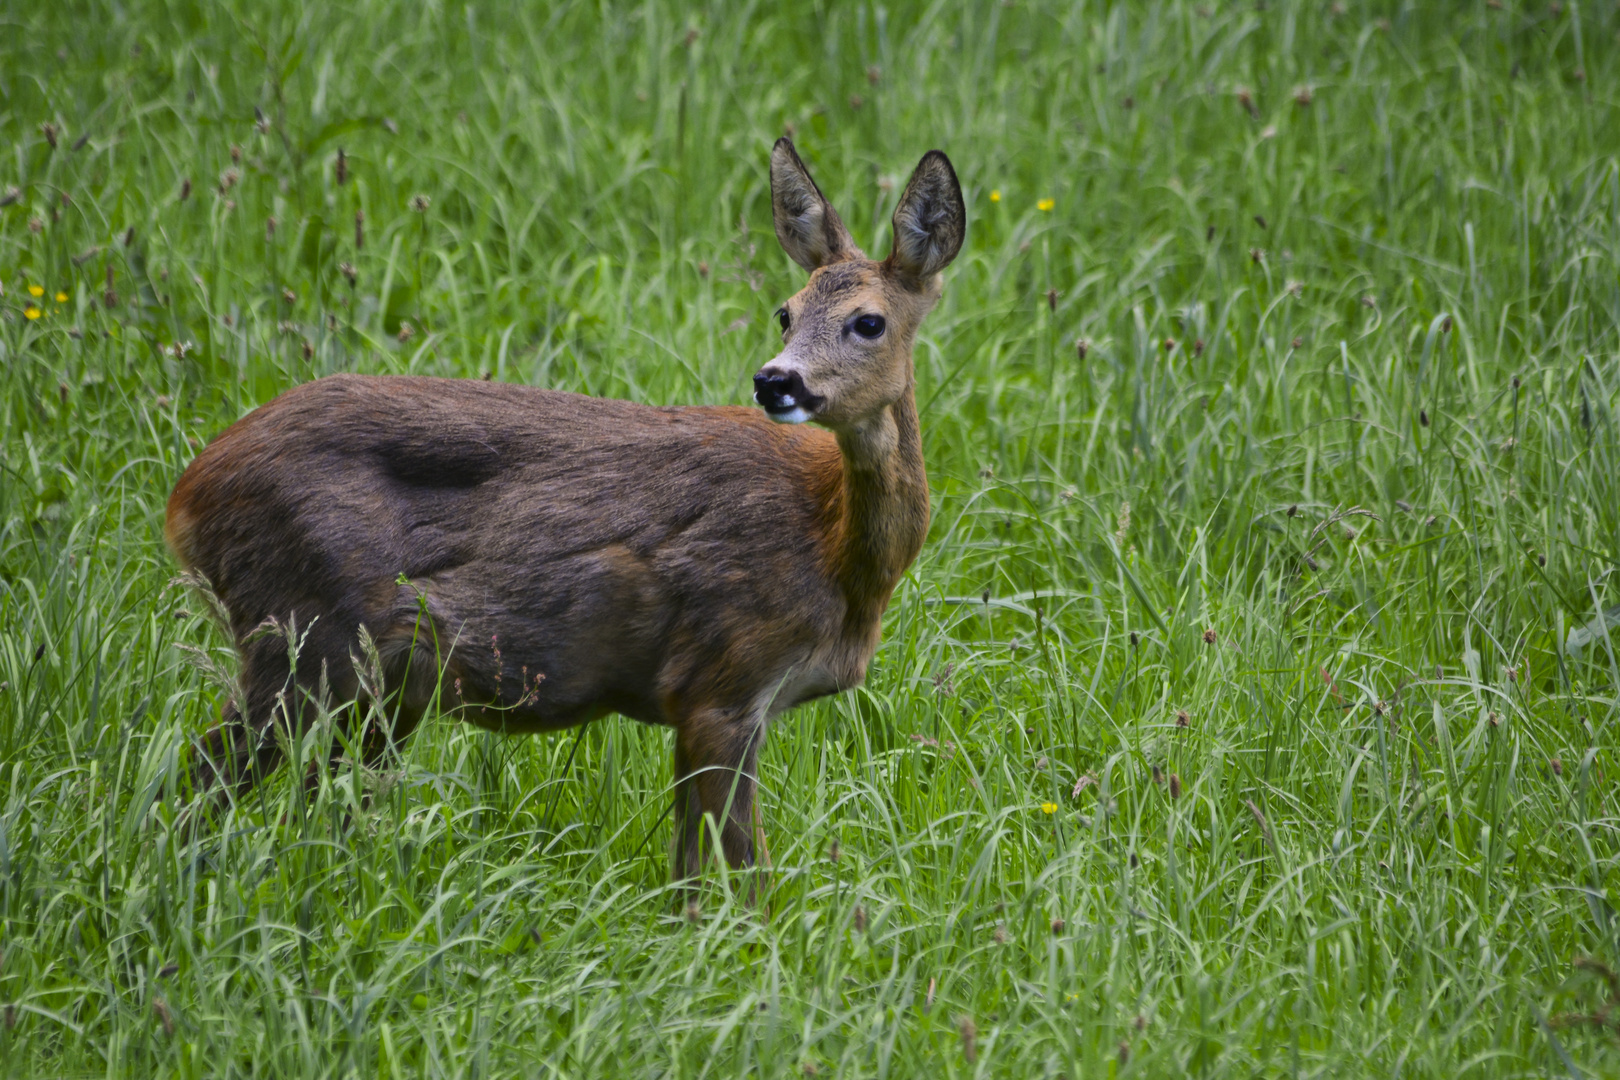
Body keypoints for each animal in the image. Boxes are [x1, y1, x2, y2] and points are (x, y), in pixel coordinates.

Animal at [164, 139, 959, 893]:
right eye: (785, 312)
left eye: (868, 321)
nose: (775, 380)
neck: (833, 548)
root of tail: (188, 494)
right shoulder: (721, 682)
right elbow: (731, 875)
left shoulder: (715, 705)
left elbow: (698, 870)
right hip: (303, 634)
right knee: (197, 780)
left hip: (377, 684)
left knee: (314, 803)